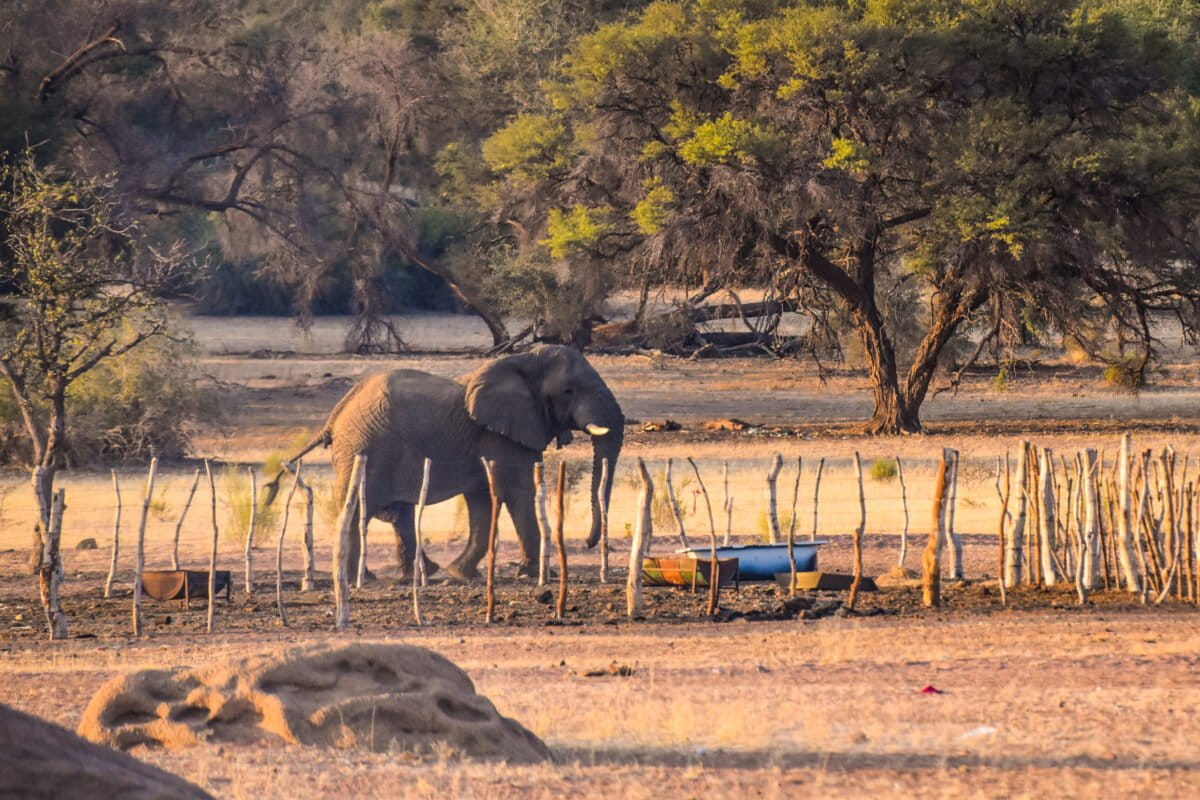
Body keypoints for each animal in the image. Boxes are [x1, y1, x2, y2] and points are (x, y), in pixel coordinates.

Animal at [264, 344, 624, 581]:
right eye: (568, 391)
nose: (588, 542)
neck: (522, 360)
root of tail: (335, 415)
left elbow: (483, 501)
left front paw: (462, 574)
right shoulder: (500, 435)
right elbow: (516, 492)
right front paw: (536, 573)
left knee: (398, 514)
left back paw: (418, 574)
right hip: (364, 449)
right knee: (359, 511)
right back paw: (360, 579)